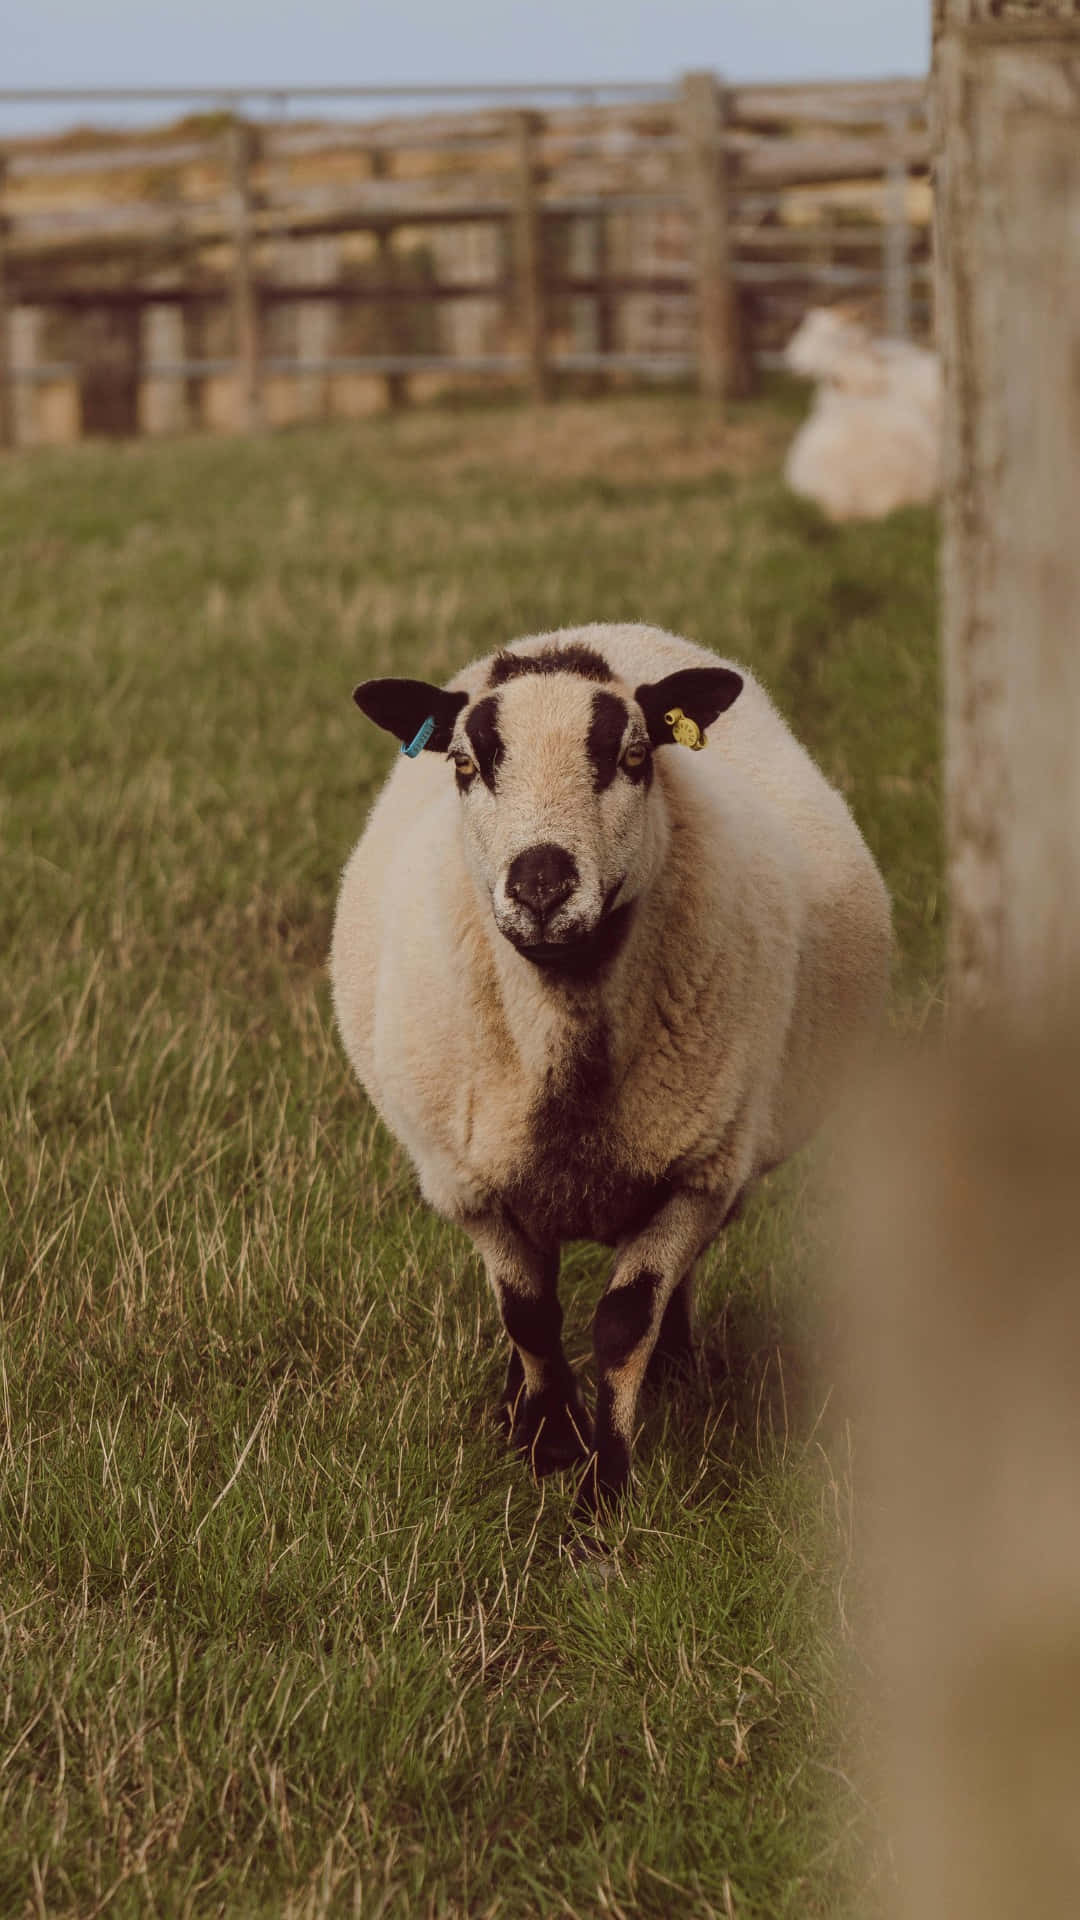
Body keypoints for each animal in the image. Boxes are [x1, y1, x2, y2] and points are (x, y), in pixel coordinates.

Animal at [330, 624, 891, 1519]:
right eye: (465, 765)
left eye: (632, 758)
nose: (541, 884)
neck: (568, 1045)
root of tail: (577, 635)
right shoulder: (470, 1183)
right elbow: (528, 1312)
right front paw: (548, 1443)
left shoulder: (698, 1173)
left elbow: (624, 1320)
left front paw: (603, 1493)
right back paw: (520, 1403)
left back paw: (675, 1365)